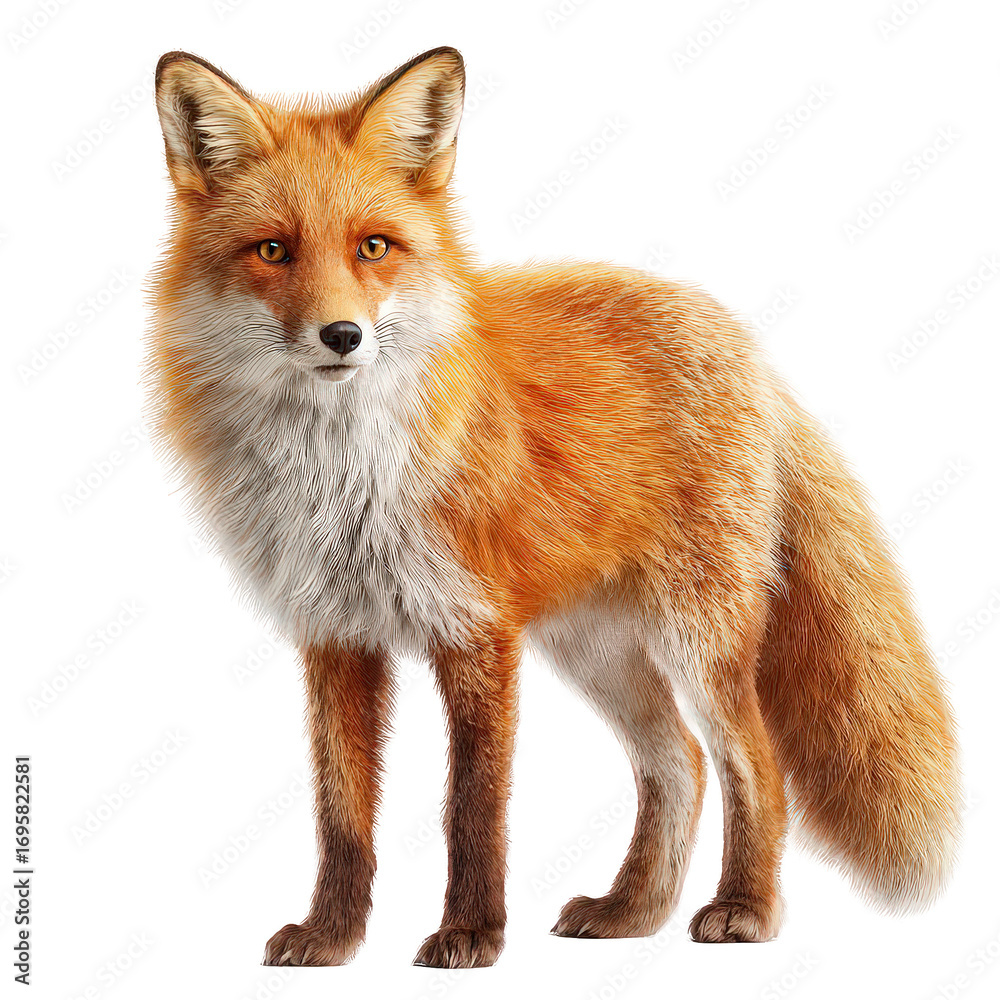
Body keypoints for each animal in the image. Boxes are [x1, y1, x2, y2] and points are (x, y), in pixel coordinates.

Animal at [148, 47, 961, 969]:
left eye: (373, 247)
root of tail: (740, 343)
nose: (343, 336)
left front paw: (469, 933)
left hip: (696, 636)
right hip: (595, 650)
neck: (340, 477)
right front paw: (333, 936)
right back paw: (631, 910)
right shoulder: (334, 635)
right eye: (274, 250)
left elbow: (472, 808)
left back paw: (743, 908)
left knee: (753, 762)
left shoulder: (477, 632)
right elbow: (341, 814)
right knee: (679, 762)